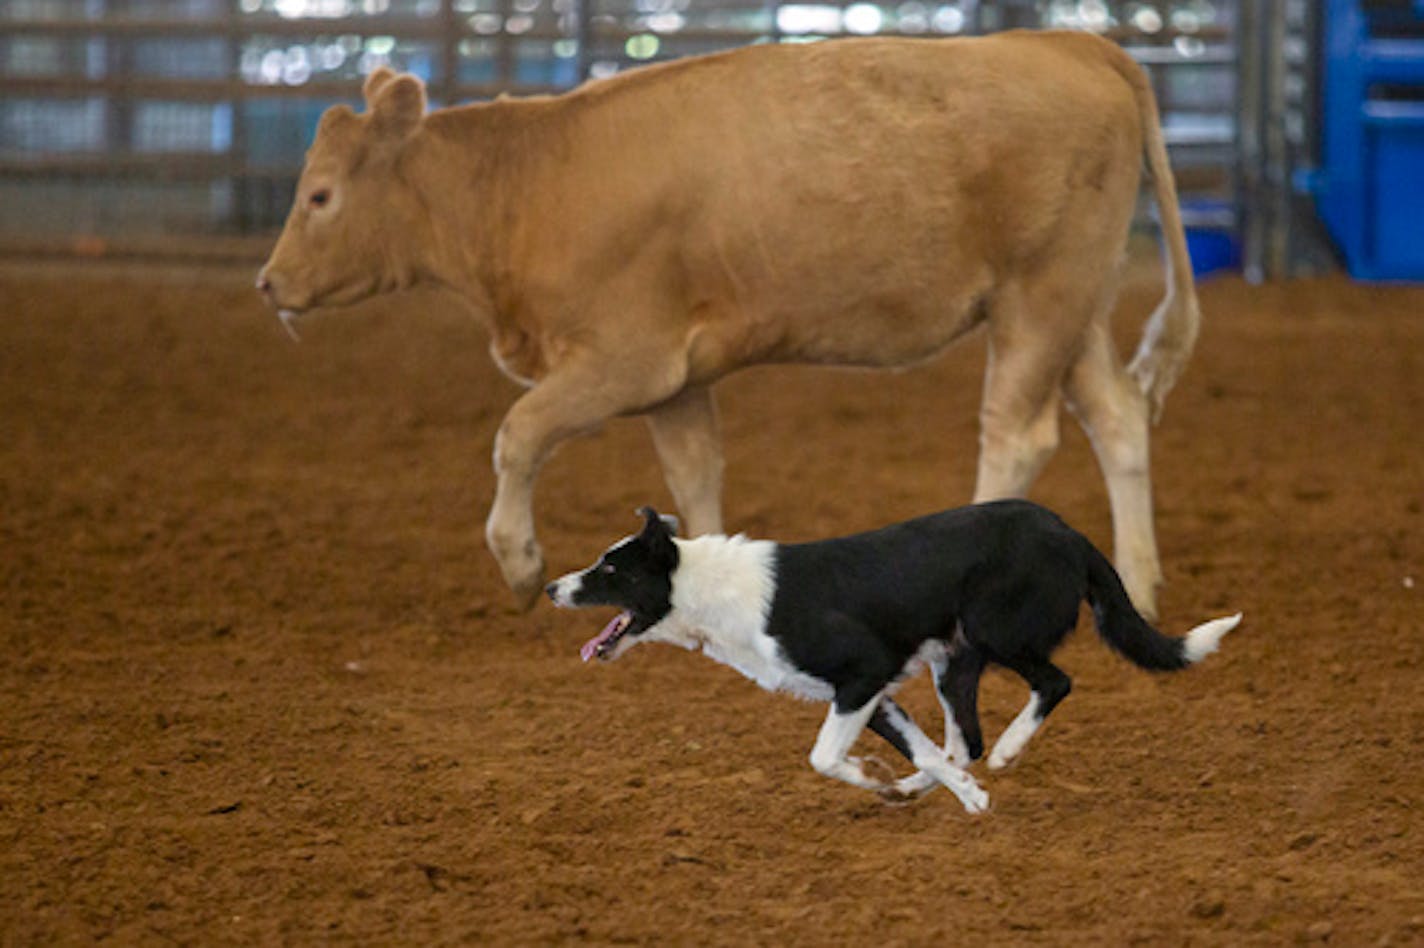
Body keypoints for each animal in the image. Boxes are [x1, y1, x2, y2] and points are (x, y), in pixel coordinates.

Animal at [259, 29, 1201, 617]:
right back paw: (1140, 582)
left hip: (1037, 298)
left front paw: (522, 565)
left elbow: (517, 436)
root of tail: (1071, 43)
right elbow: (694, 474)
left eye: (321, 196)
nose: (270, 283)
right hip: (1077, 304)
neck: (528, 186)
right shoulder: (677, 380)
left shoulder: (620, 361)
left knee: (1018, 434)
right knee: (1118, 419)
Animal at [549, 498, 1241, 808]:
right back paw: (925, 784)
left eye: (609, 570)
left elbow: (824, 757)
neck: (708, 588)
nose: (554, 589)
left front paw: (952, 795)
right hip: (952, 663)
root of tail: (1066, 530)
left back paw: (1009, 751)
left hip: (995, 631)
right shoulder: (869, 696)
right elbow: (918, 750)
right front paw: (914, 785)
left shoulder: (863, 675)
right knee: (964, 739)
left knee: (1053, 685)